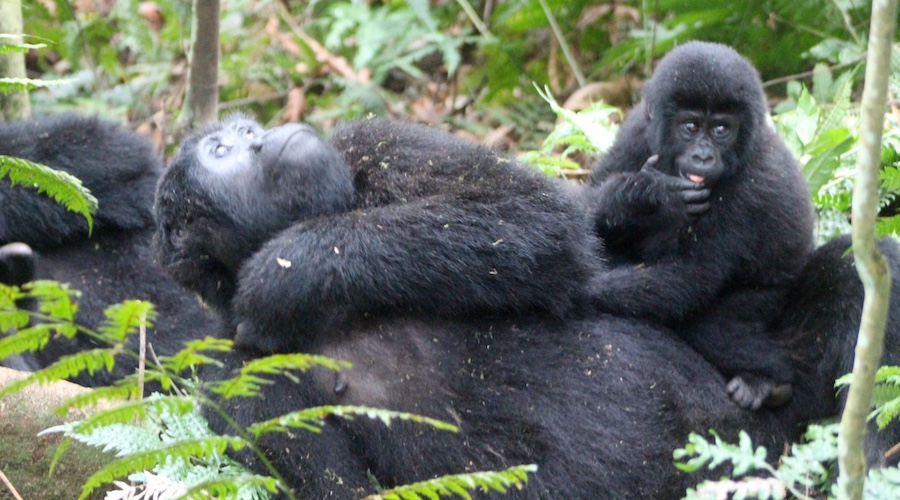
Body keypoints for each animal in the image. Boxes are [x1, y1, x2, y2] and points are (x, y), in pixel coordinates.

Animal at [154, 115, 600, 354]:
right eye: (221, 152)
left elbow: (532, 210)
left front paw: (289, 271)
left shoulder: (375, 140)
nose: (261, 139)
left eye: (246, 131)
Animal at [584, 41, 816, 410]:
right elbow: (585, 207)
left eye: (721, 130)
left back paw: (767, 381)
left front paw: (583, 288)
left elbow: (691, 274)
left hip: (775, 293)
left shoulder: (755, 184)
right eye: (690, 127)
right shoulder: (637, 131)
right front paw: (644, 197)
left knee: (711, 327)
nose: (703, 157)